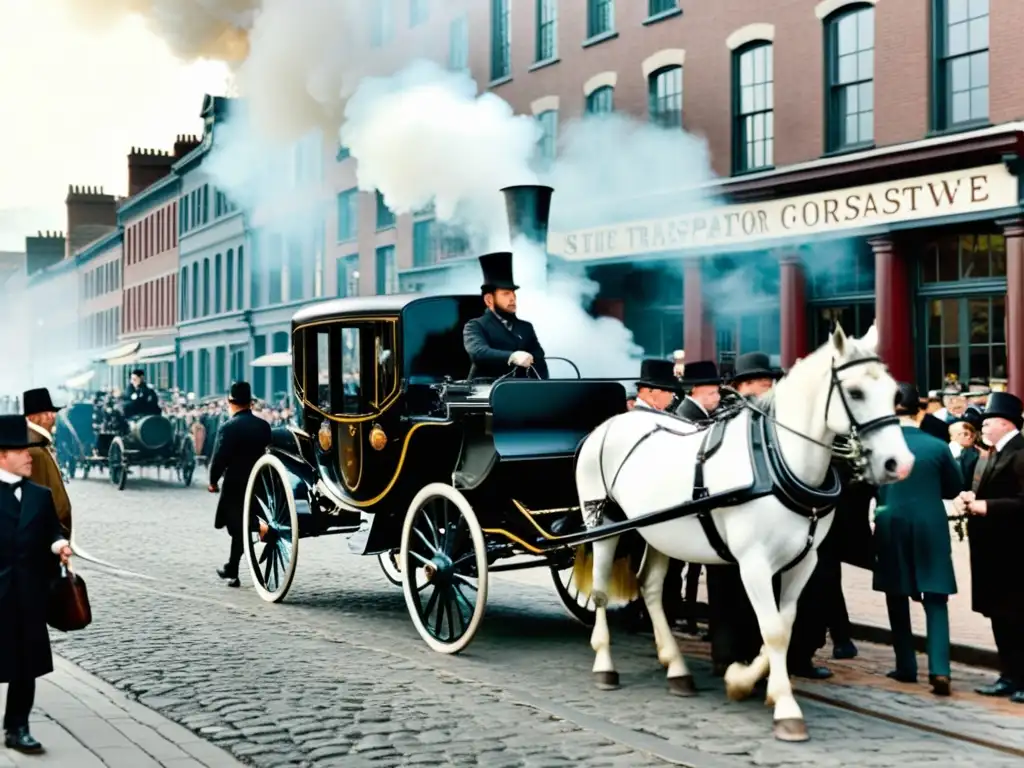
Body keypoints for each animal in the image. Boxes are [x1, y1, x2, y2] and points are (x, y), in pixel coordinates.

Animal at [573, 325, 917, 745]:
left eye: (893, 392)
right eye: (854, 392)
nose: (900, 464)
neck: (775, 460)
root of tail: (607, 426)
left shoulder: (804, 561)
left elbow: (784, 626)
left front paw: (748, 681)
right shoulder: (753, 564)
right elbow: (772, 630)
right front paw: (782, 705)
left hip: (661, 532)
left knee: (651, 589)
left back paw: (676, 668)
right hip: (603, 522)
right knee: (601, 592)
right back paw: (605, 664)